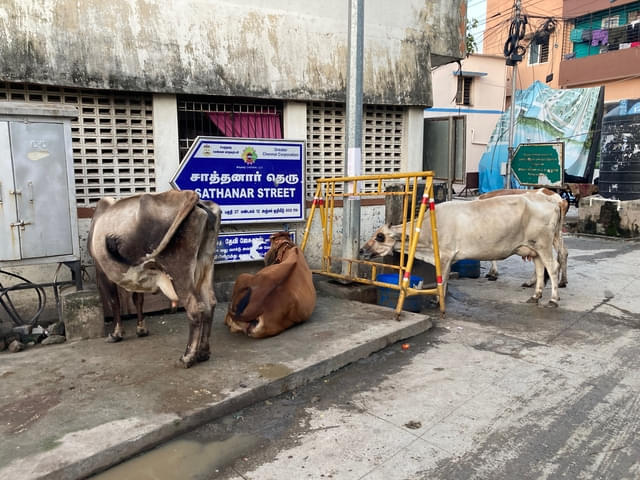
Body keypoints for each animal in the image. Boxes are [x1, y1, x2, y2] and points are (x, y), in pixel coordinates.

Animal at [89, 190, 221, 368]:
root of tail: (192, 196)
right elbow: (138, 299)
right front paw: (141, 329)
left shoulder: (101, 271)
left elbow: (114, 302)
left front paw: (116, 334)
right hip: (205, 265)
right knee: (209, 304)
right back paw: (203, 353)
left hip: (179, 269)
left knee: (195, 308)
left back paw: (187, 357)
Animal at [362, 195, 564, 308]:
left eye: (380, 236)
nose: (363, 249)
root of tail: (553, 201)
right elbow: (444, 280)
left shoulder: (445, 256)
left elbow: (442, 280)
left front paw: (438, 301)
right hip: (534, 248)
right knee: (540, 270)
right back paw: (535, 297)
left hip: (544, 244)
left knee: (553, 268)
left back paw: (553, 300)